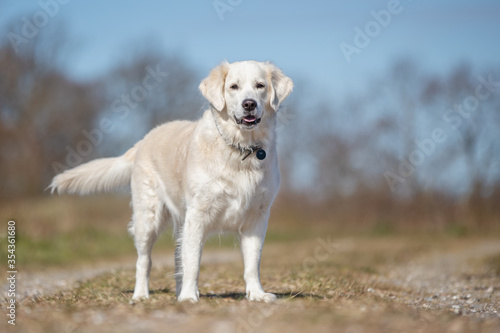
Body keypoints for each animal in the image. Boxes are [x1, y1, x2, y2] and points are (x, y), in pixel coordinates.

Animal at [49, 59, 292, 300]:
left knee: (177, 260)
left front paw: (257, 294)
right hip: (148, 218)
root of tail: (143, 141)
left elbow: (252, 263)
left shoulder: (256, 218)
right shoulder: (197, 215)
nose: (249, 104)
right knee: (144, 261)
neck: (240, 149)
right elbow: (192, 262)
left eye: (260, 85)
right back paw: (142, 295)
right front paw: (189, 297)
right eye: (233, 87)